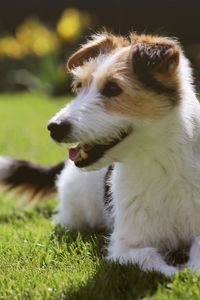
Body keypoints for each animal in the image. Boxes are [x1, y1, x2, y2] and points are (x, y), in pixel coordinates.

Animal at [1, 31, 200, 276]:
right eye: (79, 86)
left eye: (113, 88)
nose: (53, 127)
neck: (162, 162)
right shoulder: (128, 248)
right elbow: (163, 268)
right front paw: (181, 274)